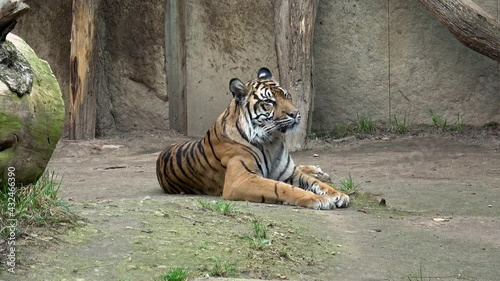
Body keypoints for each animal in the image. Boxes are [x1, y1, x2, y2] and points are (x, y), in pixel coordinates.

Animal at [155, 67, 348, 208]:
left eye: (286, 95)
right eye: (269, 102)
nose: (295, 113)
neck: (272, 140)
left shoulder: (288, 172)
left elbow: (314, 183)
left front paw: (338, 194)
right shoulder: (240, 180)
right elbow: (282, 188)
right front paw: (319, 200)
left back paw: (317, 171)